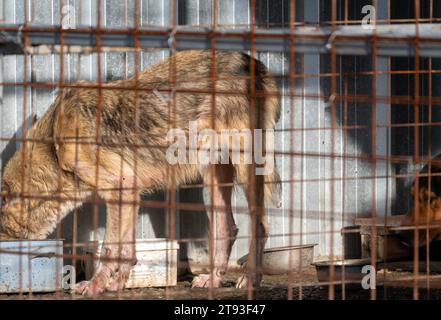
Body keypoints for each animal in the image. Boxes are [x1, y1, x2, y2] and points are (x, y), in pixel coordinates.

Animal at [0, 50, 280, 296]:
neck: (53, 150)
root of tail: (255, 64)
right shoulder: (129, 193)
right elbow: (127, 251)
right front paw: (117, 284)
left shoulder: (120, 188)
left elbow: (110, 249)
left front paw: (95, 285)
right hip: (213, 178)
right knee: (228, 227)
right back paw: (213, 279)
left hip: (245, 169)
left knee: (261, 225)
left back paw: (250, 280)